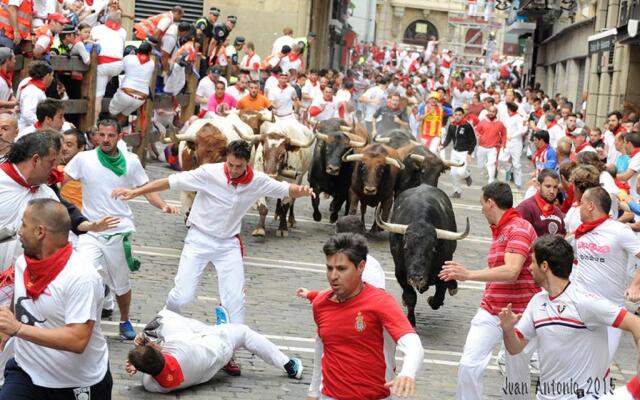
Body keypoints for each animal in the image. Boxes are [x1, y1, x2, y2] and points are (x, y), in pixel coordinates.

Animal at [376, 183, 470, 326]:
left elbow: (438, 298)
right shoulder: (400, 273)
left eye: (433, 249)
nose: (416, 277)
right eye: (405, 247)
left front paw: (431, 299)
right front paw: (410, 321)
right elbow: (410, 297)